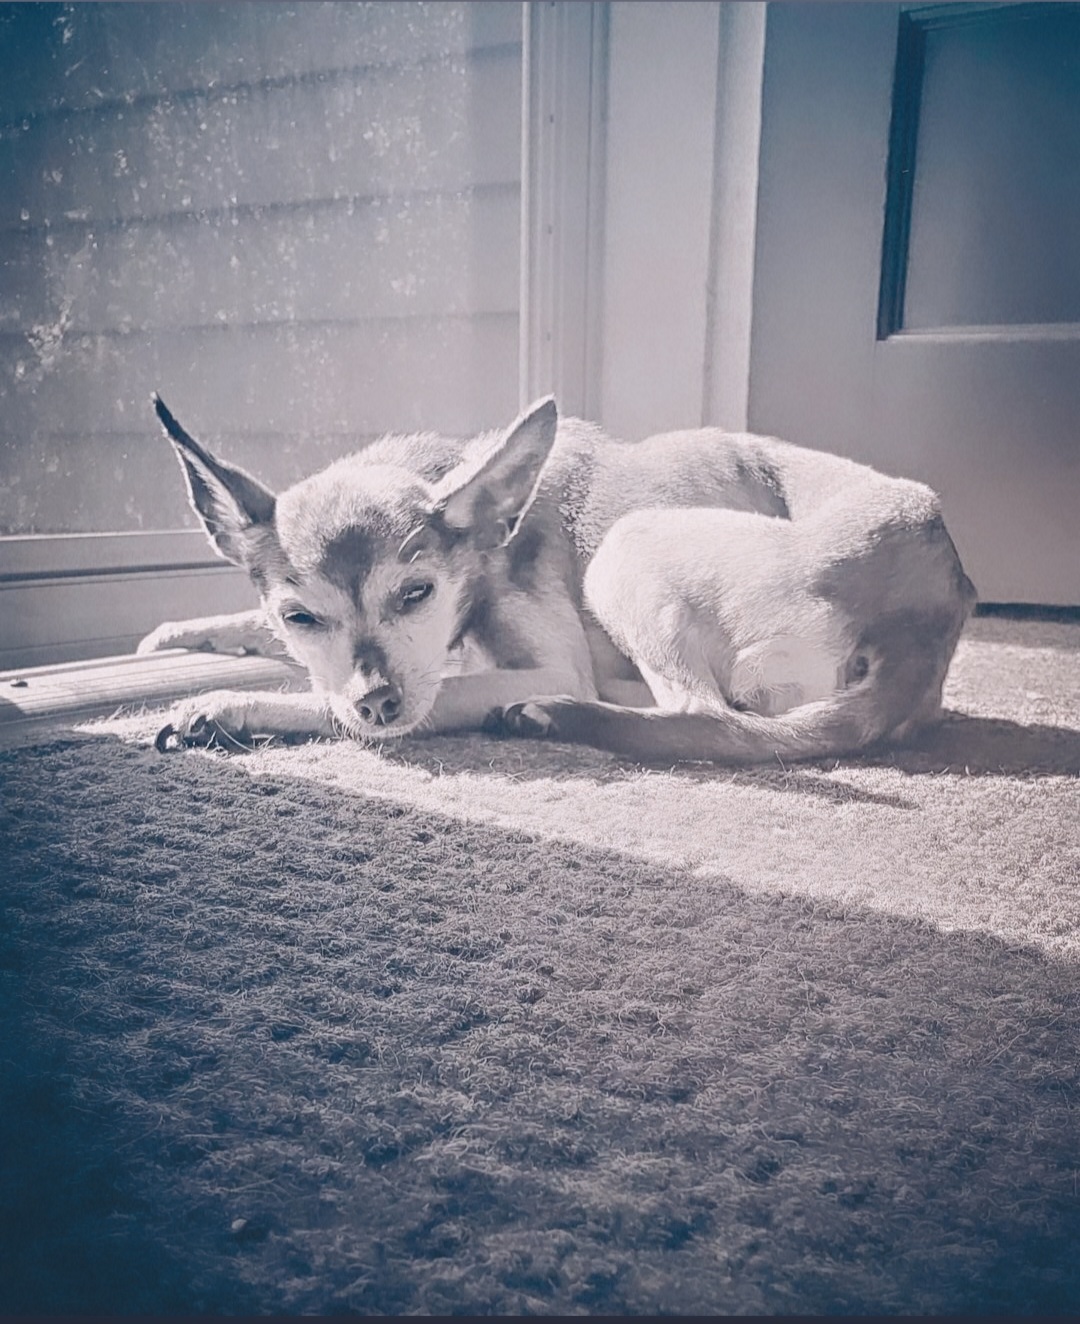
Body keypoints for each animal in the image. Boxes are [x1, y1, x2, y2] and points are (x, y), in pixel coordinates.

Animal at [138, 389, 974, 767]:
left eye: (417, 594)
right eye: (299, 618)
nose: (378, 700)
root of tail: (933, 613)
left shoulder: (543, 665)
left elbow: (370, 703)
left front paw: (227, 706)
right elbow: (251, 634)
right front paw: (171, 639)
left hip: (625, 553)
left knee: (705, 717)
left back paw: (553, 717)